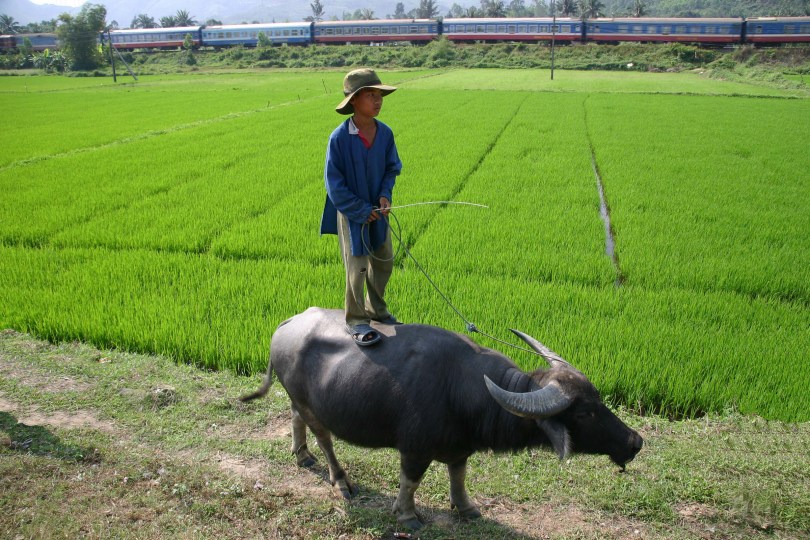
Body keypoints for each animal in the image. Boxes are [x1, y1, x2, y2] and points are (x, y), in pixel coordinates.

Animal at [241, 307, 643, 530]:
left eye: (599, 399)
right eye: (585, 412)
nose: (635, 441)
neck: (462, 389)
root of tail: (286, 324)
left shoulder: (460, 446)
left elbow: (458, 475)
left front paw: (466, 508)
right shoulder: (414, 449)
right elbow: (411, 482)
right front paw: (407, 515)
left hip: (299, 399)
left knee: (296, 418)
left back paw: (302, 455)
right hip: (313, 407)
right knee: (324, 438)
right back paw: (341, 480)